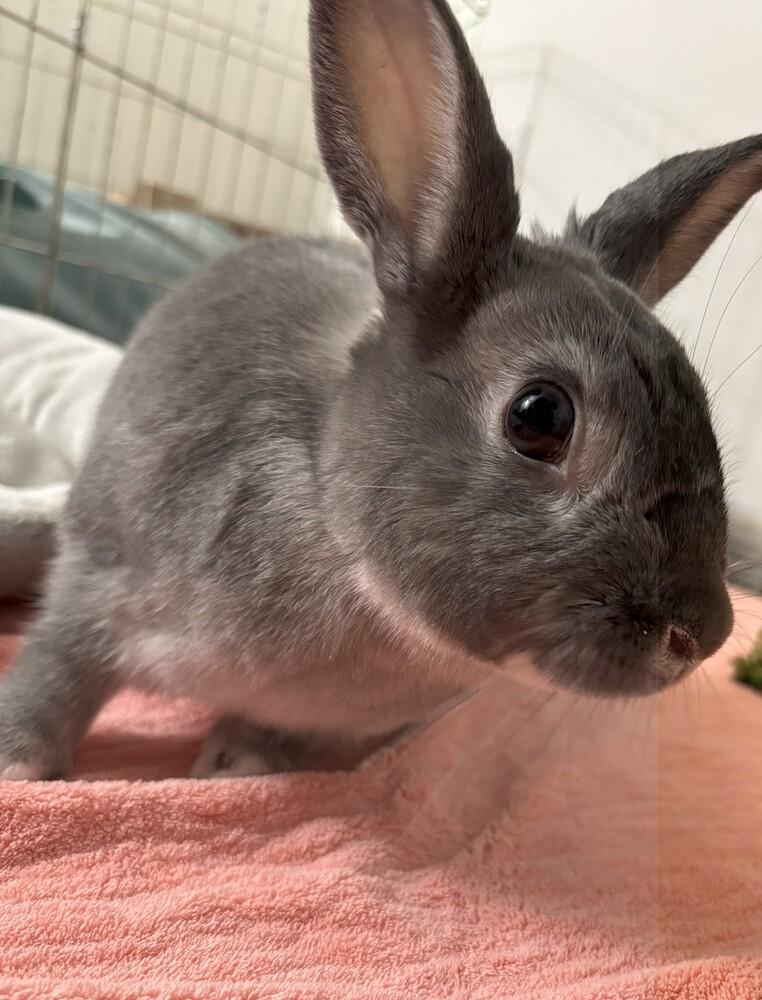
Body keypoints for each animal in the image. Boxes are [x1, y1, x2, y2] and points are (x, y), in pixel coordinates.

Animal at [1, 0, 761, 781]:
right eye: (539, 416)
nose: (700, 635)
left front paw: (240, 763)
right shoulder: (100, 577)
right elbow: (57, 668)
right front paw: (19, 764)